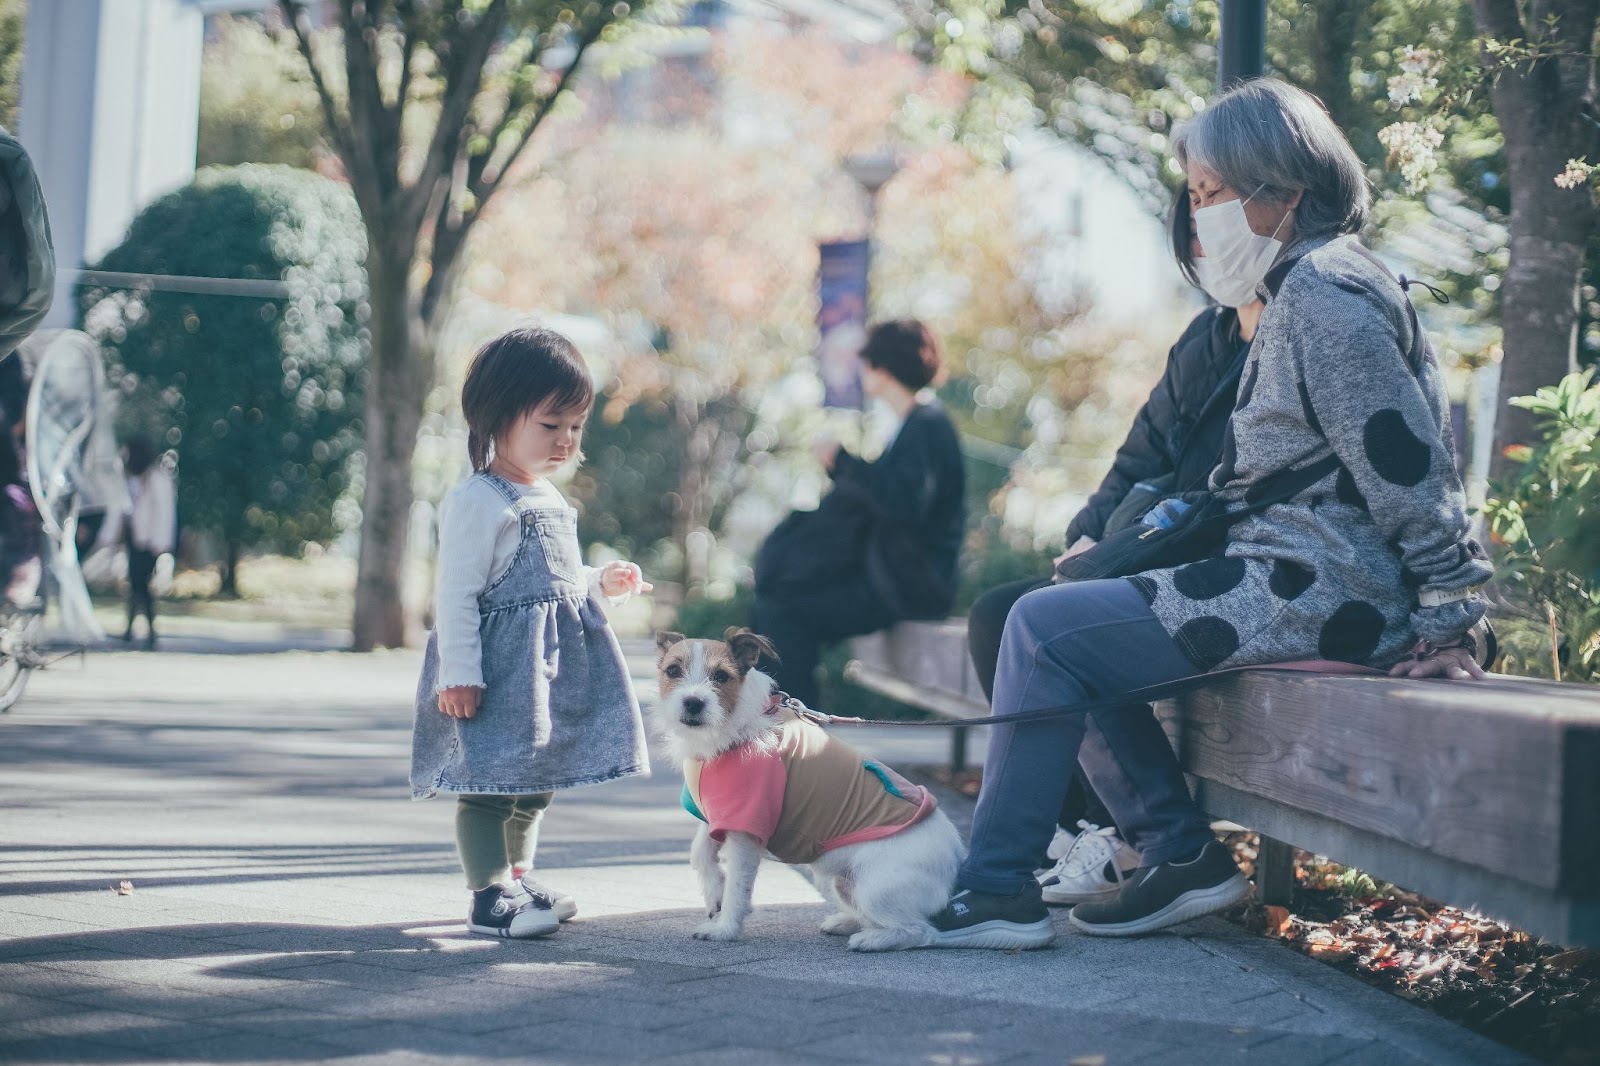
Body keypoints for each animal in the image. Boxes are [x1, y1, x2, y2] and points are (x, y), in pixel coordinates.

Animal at [649, 624, 960, 947]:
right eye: (673, 671)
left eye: (722, 676)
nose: (693, 702)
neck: (733, 728)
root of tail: (955, 857)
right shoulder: (721, 810)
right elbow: (700, 850)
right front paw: (714, 892)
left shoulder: (747, 827)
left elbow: (737, 887)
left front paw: (725, 930)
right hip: (838, 882)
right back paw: (847, 923)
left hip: (876, 890)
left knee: (921, 931)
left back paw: (873, 940)